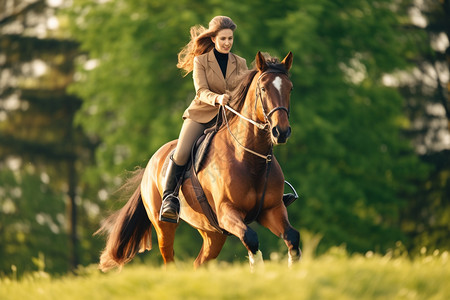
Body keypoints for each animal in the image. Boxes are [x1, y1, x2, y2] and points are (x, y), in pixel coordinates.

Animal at [99, 51, 302, 272]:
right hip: (164, 226)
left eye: (290, 88)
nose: (281, 132)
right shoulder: (227, 212)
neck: (249, 159)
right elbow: (251, 238)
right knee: (169, 259)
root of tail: (151, 165)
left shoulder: (272, 210)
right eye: (263, 89)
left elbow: (292, 237)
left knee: (199, 262)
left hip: (213, 233)